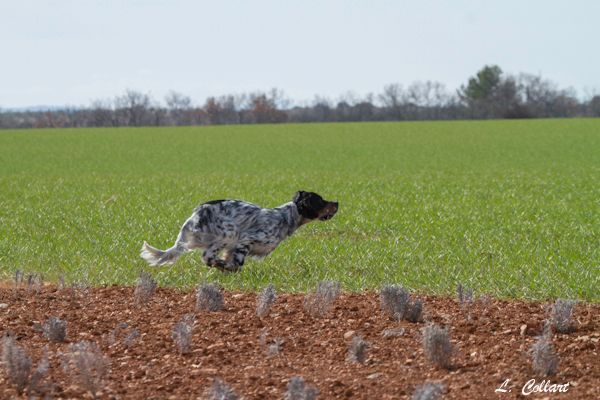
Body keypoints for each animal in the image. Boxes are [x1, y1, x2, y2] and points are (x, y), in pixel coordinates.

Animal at [141, 191, 338, 272]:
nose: (337, 202)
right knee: (207, 256)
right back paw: (218, 263)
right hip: (229, 233)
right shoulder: (246, 239)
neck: (285, 218)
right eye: (321, 200)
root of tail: (196, 214)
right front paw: (226, 267)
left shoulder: (233, 247)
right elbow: (237, 263)